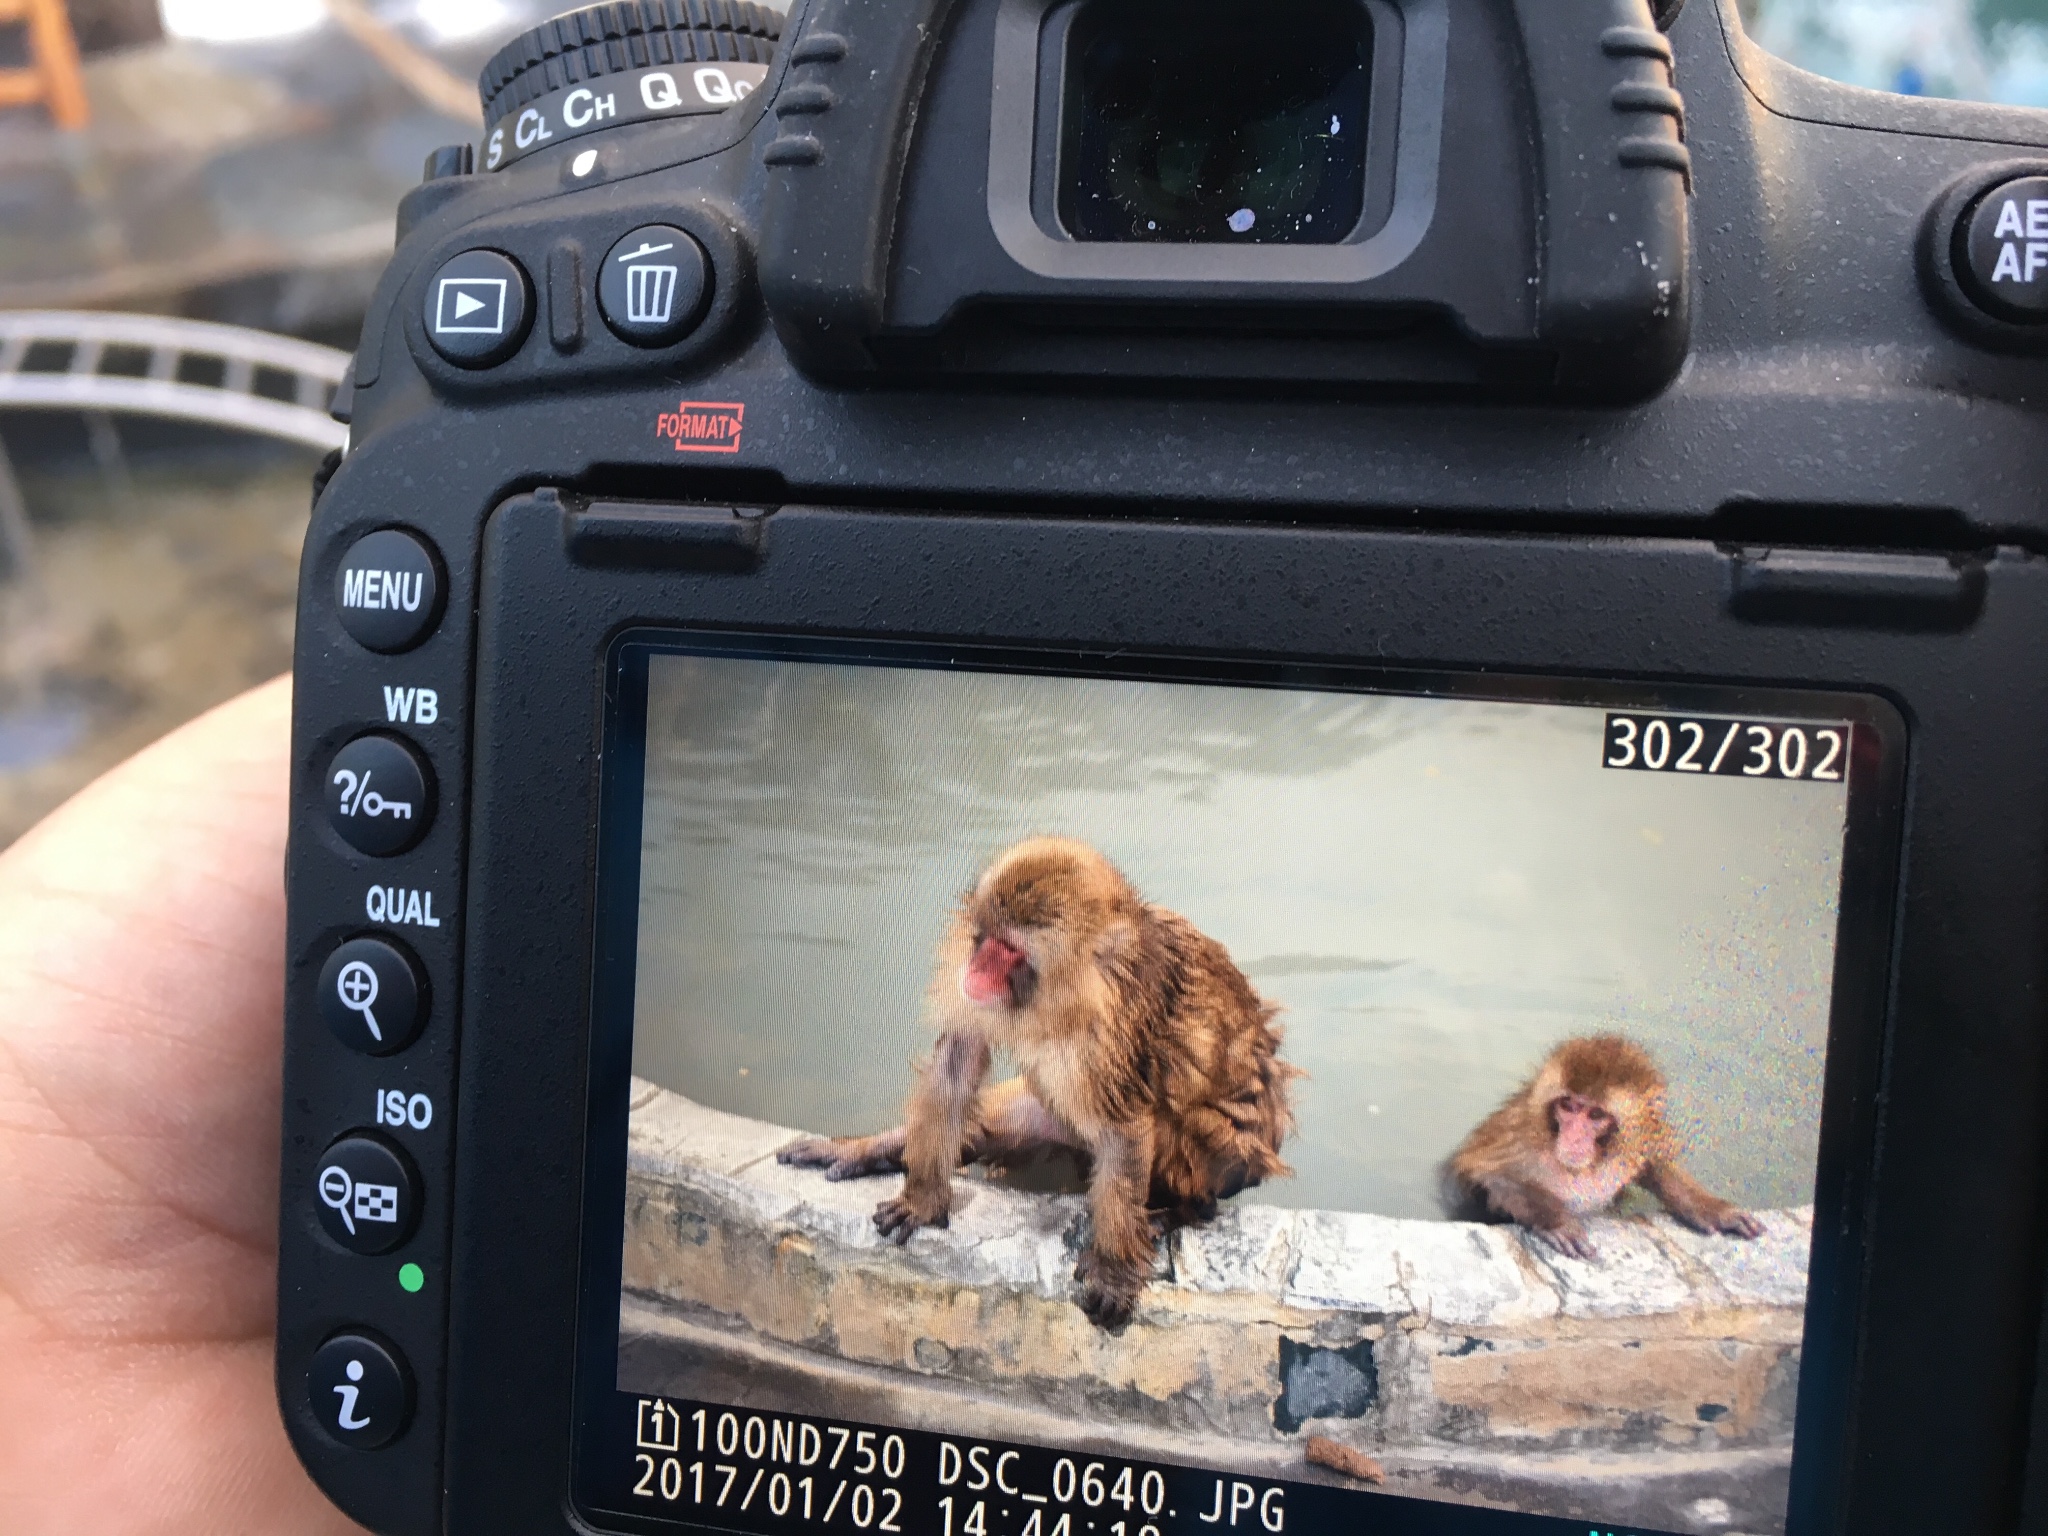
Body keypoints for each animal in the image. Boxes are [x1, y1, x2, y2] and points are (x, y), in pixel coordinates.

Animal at [774, 835, 1302, 1327]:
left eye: (1009, 951)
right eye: (986, 938)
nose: (976, 970)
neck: (1062, 989)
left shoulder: (1114, 1021)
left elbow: (1123, 1125)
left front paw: (1114, 1266)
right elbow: (958, 1060)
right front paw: (923, 1198)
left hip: (1231, 1158)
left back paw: (1177, 1212)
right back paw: (874, 1149)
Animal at [1441, 1036, 1761, 1261]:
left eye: (1595, 1115)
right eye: (1568, 1106)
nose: (1573, 1137)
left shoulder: (1641, 1140)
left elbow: (1656, 1167)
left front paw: (1712, 1210)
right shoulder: (1520, 1138)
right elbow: (1487, 1173)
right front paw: (1555, 1223)